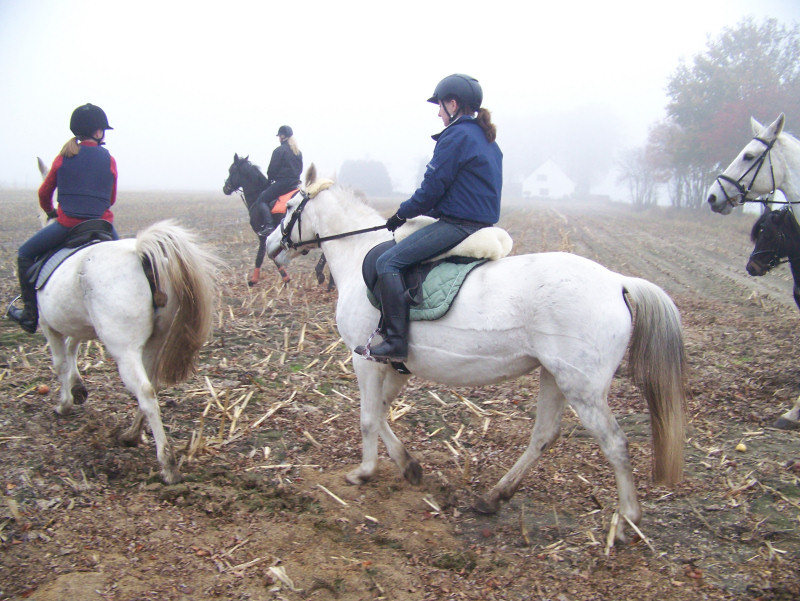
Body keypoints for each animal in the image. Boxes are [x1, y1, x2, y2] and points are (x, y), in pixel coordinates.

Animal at [31, 220, 220, 483]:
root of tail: (140, 253)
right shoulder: (80, 326)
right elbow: (71, 350)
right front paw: (78, 388)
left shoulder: (49, 326)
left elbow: (60, 363)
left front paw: (64, 403)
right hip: (153, 344)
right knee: (152, 386)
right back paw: (131, 435)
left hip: (125, 351)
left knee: (145, 392)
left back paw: (168, 464)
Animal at [266, 167, 687, 540]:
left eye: (290, 208)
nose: (270, 246)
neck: (358, 255)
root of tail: (617, 282)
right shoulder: (395, 364)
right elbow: (382, 413)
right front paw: (409, 466)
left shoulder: (365, 358)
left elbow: (369, 417)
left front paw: (364, 472)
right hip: (555, 376)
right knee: (544, 436)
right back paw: (494, 497)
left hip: (582, 388)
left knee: (615, 444)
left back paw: (627, 520)